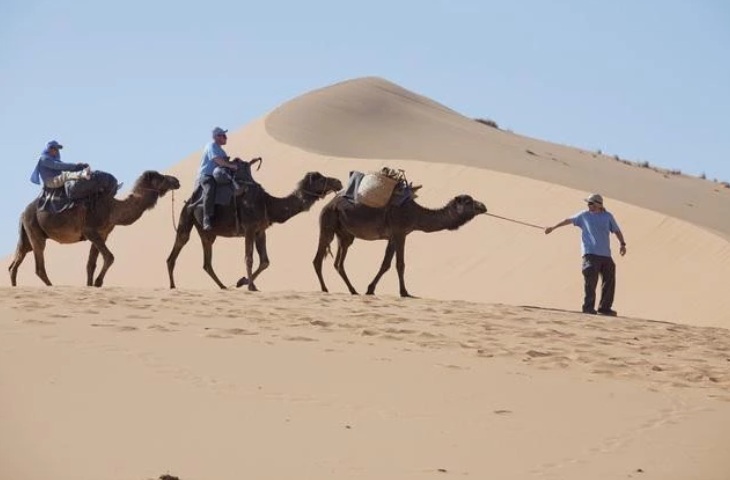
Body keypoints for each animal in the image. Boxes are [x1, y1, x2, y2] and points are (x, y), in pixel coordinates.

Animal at [8, 171, 181, 286]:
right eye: (160, 177)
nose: (177, 180)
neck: (113, 209)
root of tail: (23, 212)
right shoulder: (90, 230)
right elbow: (110, 257)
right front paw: (98, 282)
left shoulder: (102, 234)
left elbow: (91, 264)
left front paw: (90, 285)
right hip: (34, 230)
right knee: (39, 266)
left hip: (27, 235)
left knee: (15, 263)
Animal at [166, 159, 342, 290]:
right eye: (320, 178)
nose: (338, 181)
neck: (268, 203)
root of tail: (190, 200)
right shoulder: (249, 228)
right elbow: (249, 258)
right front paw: (250, 286)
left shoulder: (260, 230)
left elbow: (265, 261)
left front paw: (243, 282)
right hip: (186, 217)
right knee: (179, 245)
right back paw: (173, 286)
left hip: (207, 233)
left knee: (206, 262)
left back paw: (223, 286)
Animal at [312, 193, 484, 298]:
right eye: (468, 201)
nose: (483, 206)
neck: (416, 214)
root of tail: (328, 205)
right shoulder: (400, 232)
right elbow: (400, 264)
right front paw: (404, 292)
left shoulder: (394, 236)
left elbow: (386, 264)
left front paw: (370, 289)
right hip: (328, 224)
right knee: (318, 259)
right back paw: (325, 289)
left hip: (345, 234)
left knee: (338, 263)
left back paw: (353, 290)